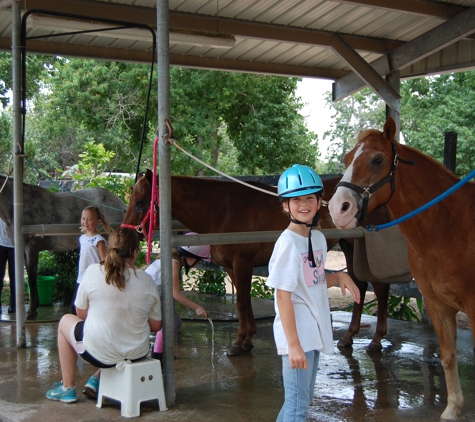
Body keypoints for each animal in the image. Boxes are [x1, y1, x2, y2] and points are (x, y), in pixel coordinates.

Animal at [122, 170, 394, 354]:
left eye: (140, 202)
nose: (125, 236)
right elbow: (244, 304)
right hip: (351, 246)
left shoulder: (242, 263)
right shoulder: (233, 267)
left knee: (380, 288)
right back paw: (349, 336)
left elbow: (242, 302)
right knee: (360, 285)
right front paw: (247, 339)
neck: (221, 210)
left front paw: (239, 342)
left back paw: (376, 340)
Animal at [330, 115, 474, 422]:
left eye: (377, 159)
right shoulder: (436, 304)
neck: (451, 225)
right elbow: (448, 355)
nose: (339, 209)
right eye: (347, 158)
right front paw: (452, 408)